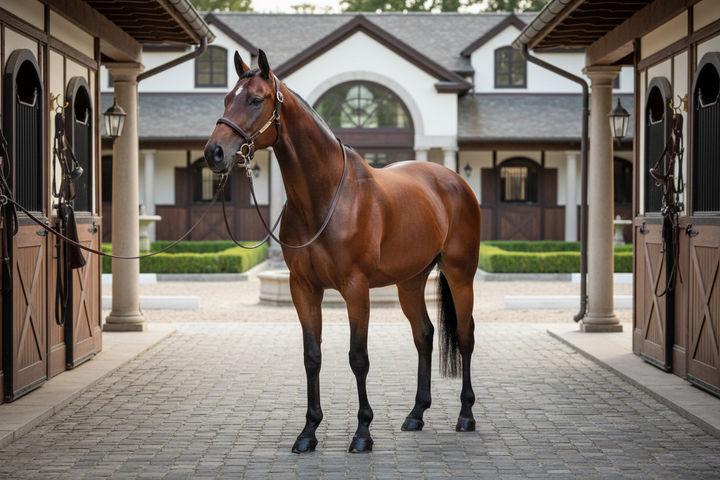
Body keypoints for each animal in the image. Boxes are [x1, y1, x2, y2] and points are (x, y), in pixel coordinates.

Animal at [204, 50, 481, 454]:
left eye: (255, 100)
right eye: (226, 99)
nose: (214, 153)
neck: (324, 199)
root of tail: (455, 180)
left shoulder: (355, 288)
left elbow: (358, 357)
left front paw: (363, 433)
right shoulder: (303, 288)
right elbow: (312, 357)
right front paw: (308, 432)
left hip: (460, 276)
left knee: (464, 336)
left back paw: (466, 415)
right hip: (410, 282)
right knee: (425, 335)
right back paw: (416, 414)